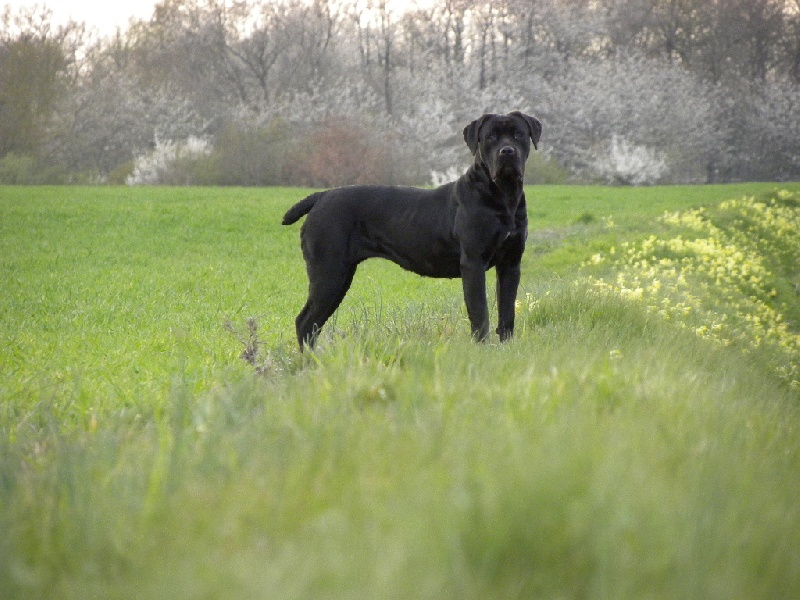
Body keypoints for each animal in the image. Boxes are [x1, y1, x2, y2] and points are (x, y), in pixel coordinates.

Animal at [282, 110, 544, 350]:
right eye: (490, 137)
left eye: (519, 134)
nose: (507, 151)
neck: (504, 195)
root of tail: (322, 196)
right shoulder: (473, 263)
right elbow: (480, 313)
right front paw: (482, 350)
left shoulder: (510, 264)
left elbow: (507, 312)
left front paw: (507, 348)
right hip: (329, 271)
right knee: (306, 321)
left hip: (339, 275)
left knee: (312, 323)